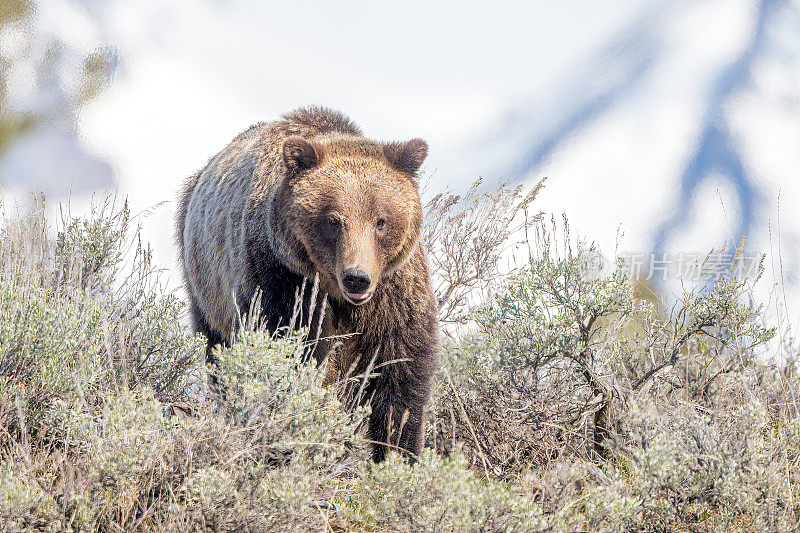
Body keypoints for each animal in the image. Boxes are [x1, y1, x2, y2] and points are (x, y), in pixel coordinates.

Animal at [177, 106, 438, 460]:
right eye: (333, 220)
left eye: (381, 221)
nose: (357, 278)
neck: (337, 296)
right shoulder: (283, 281)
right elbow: (300, 354)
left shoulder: (394, 293)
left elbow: (401, 374)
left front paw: (397, 452)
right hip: (206, 286)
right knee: (217, 351)